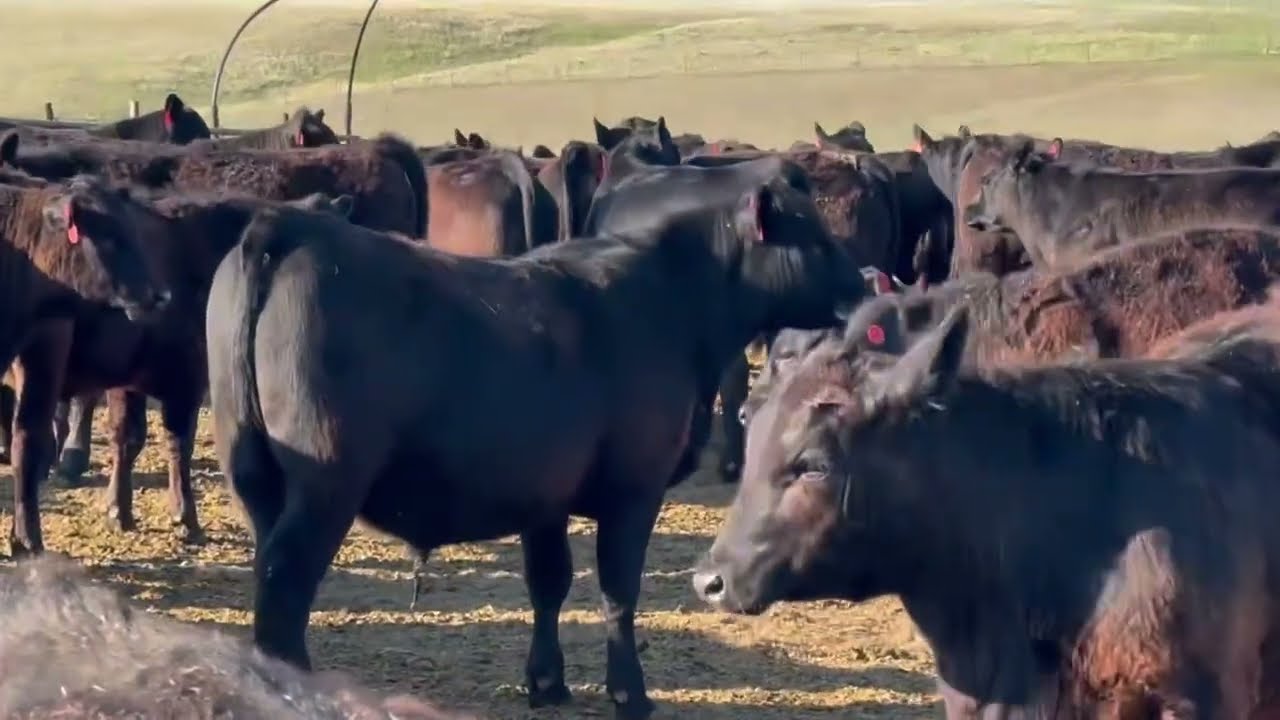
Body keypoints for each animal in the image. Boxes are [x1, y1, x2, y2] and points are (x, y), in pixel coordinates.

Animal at [204, 177, 865, 720]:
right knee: (286, 582)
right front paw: (630, 693)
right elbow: (618, 589)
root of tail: (290, 226)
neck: (668, 300)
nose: (863, 284)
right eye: (816, 238)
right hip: (327, 484)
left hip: (256, 478)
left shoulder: (543, 495)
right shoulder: (634, 489)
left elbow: (549, 582)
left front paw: (546, 683)